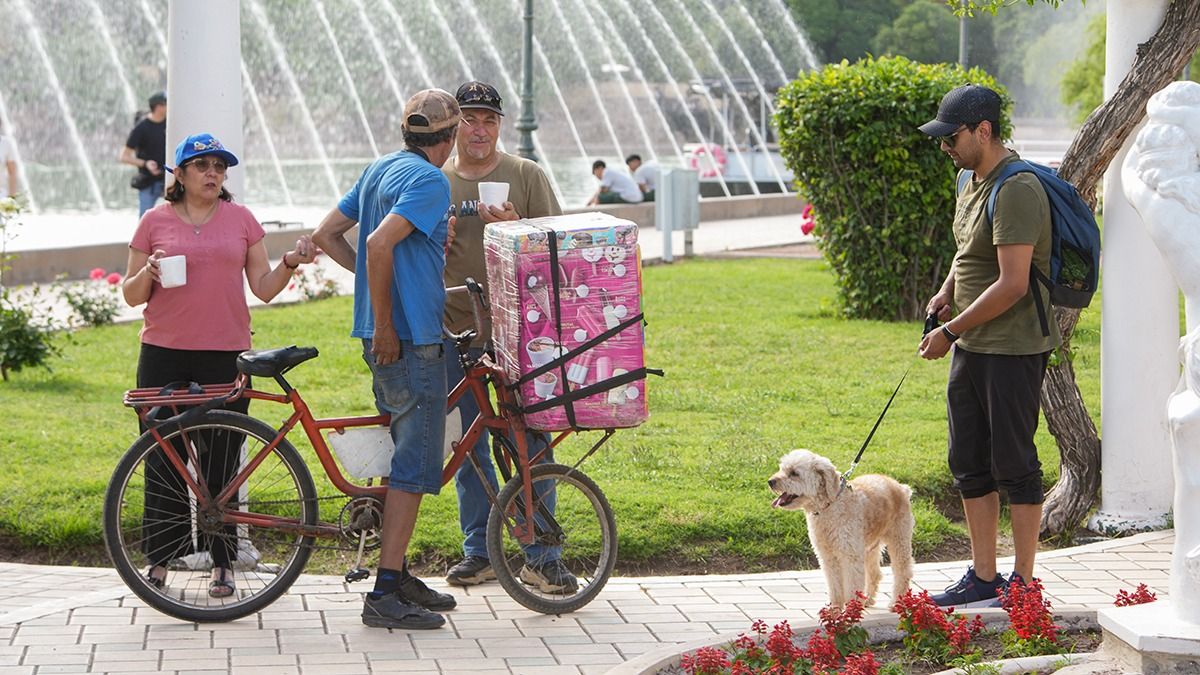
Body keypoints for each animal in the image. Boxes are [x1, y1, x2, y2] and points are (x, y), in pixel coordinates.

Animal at [763, 449, 912, 607]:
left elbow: (852, 587)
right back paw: (867, 599)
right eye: (782, 469)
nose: (770, 481)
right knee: (875, 573)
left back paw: (896, 603)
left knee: (903, 572)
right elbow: (834, 587)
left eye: (794, 473)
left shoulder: (850, 556)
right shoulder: (828, 557)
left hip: (899, 540)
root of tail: (902, 488)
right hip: (870, 548)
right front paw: (834, 610)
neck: (829, 506)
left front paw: (851, 611)